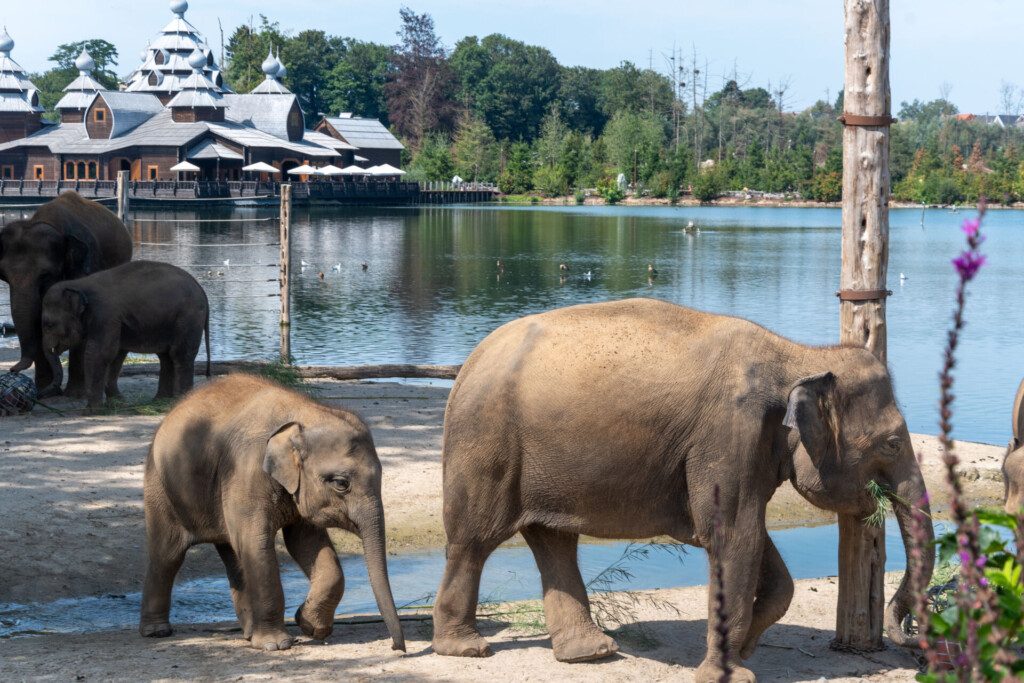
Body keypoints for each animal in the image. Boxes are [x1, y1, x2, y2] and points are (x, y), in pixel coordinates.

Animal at [0, 192, 132, 395]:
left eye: (45, 275)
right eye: (5, 276)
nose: (13, 370)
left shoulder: (87, 267)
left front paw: (75, 394)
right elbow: (35, 320)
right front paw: (46, 390)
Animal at [38, 260, 209, 411]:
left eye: (48, 325)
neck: (78, 284)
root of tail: (202, 290)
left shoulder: (105, 315)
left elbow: (101, 353)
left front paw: (91, 411)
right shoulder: (116, 322)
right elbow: (116, 355)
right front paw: (118, 404)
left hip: (188, 318)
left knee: (180, 355)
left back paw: (179, 401)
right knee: (166, 357)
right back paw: (160, 402)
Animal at [137, 374, 407, 651]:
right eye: (341, 483)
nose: (397, 647)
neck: (304, 414)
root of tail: (172, 412)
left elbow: (305, 542)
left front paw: (311, 627)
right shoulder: (247, 472)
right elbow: (257, 544)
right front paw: (277, 645)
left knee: (233, 555)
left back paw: (248, 634)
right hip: (160, 484)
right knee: (168, 554)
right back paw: (156, 632)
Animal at [432, 299, 937, 683]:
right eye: (892, 443)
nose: (909, 635)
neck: (798, 355)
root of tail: (468, 361)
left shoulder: (747, 450)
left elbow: (756, 548)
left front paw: (745, 648)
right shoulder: (729, 433)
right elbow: (735, 538)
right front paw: (729, 673)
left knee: (552, 538)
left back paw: (590, 653)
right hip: (485, 437)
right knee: (474, 539)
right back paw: (467, 649)